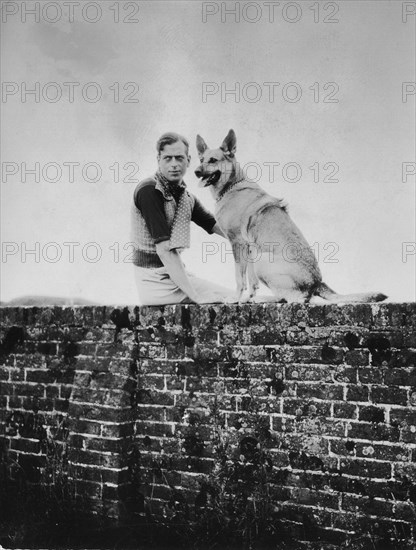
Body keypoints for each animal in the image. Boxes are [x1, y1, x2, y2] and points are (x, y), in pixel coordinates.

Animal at [195, 130, 386, 306]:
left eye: (213, 160)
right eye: (201, 159)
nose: (196, 171)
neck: (232, 186)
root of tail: (317, 283)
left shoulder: (238, 244)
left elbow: (239, 278)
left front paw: (236, 299)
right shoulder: (249, 248)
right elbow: (251, 281)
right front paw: (248, 298)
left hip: (262, 261)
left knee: (297, 299)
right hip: (258, 258)